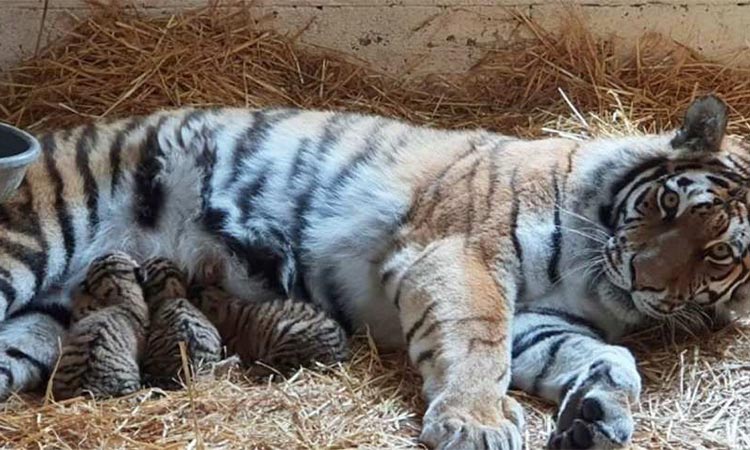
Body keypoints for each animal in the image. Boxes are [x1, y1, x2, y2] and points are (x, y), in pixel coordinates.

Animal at [1, 93, 750, 448]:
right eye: (666, 205)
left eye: (717, 252)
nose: (646, 281)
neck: (595, 276)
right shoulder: (459, 253)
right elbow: (477, 341)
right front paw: (475, 424)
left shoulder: (544, 317)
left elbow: (610, 358)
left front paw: (597, 413)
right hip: (30, 241)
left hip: (46, 319)